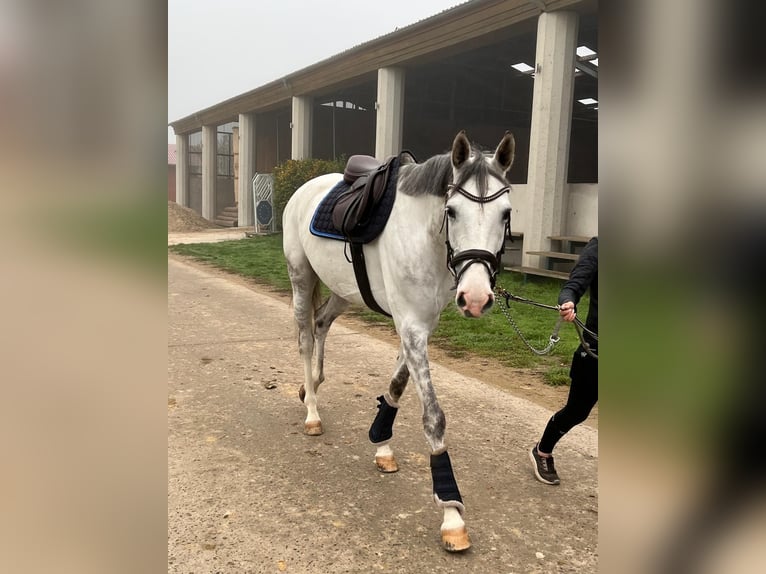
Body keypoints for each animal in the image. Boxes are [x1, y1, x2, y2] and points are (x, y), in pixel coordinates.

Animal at [282, 130, 515, 552]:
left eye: (505, 213)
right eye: (452, 211)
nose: (475, 297)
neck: (426, 238)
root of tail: (305, 187)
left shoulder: (422, 324)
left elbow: (397, 384)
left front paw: (381, 441)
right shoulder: (411, 325)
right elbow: (433, 417)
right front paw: (451, 513)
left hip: (343, 290)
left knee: (322, 323)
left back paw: (314, 387)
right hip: (300, 278)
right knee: (306, 338)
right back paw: (312, 412)